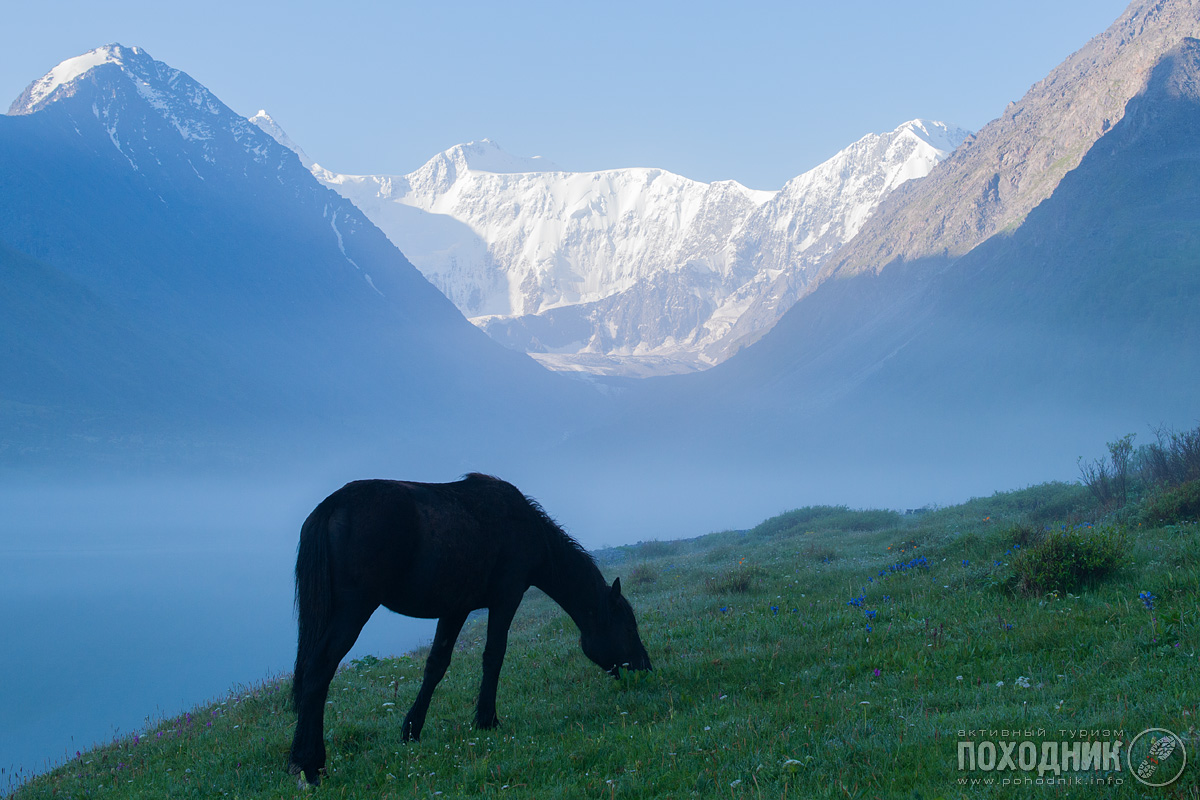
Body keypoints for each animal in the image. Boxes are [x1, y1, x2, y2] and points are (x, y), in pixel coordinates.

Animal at [286, 474, 652, 786]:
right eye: (628, 629)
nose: (646, 668)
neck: (525, 527)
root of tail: (332, 505)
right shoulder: (506, 598)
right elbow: (494, 656)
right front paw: (487, 719)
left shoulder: (455, 608)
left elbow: (436, 665)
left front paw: (411, 730)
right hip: (353, 611)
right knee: (319, 672)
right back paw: (310, 765)